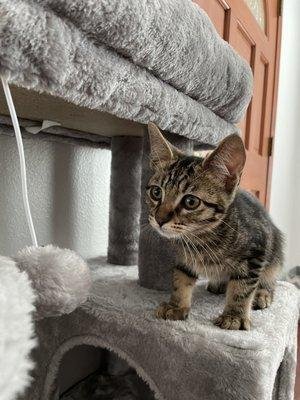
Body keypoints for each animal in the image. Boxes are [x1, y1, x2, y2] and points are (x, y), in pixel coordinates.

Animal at [146, 122, 282, 332]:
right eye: (156, 192)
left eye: (191, 202)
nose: (159, 219)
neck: (202, 238)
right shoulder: (184, 258)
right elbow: (180, 279)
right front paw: (176, 306)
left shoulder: (257, 251)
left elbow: (242, 288)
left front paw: (234, 316)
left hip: (275, 252)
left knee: (270, 278)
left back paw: (262, 294)